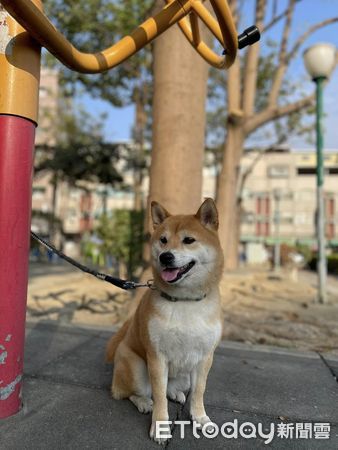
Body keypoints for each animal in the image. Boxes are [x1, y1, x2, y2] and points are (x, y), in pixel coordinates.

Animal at [105, 200, 223, 442]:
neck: (185, 300)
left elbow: (199, 392)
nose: (165, 257)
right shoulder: (157, 356)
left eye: (189, 240)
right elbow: (159, 395)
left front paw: (200, 418)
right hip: (136, 367)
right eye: (163, 240)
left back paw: (176, 393)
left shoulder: (205, 357)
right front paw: (160, 425)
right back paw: (144, 402)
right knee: (130, 393)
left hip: (185, 375)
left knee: (174, 388)